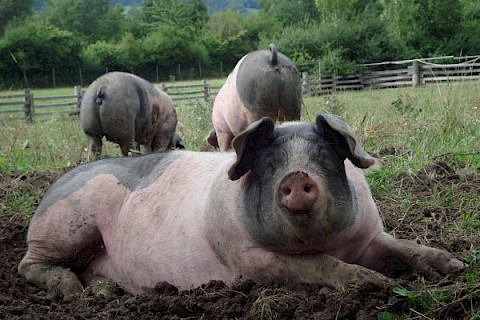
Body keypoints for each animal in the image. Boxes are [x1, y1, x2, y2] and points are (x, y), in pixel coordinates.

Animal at [18, 114, 464, 296]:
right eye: (267, 164)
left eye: (325, 157)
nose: (296, 177)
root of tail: (57, 183)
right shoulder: (244, 257)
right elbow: (319, 266)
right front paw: (377, 285)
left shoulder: (370, 236)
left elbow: (402, 247)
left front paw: (457, 266)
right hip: (63, 225)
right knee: (28, 265)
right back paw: (73, 292)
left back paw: (103, 292)